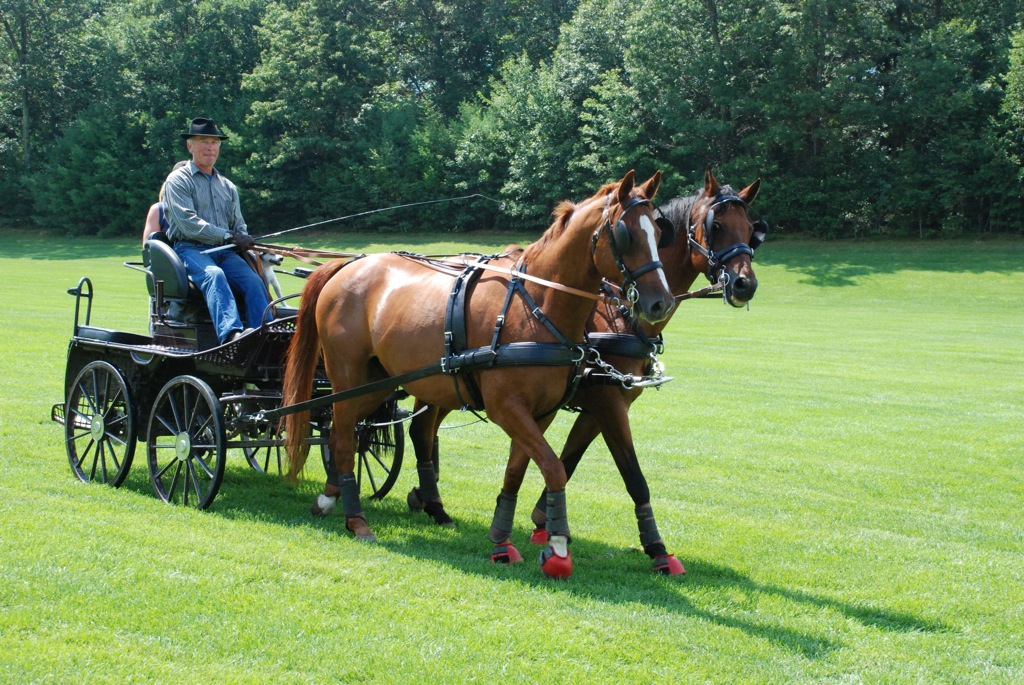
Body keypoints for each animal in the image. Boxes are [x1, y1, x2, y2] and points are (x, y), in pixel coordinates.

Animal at [282, 170, 675, 578]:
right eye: (626, 234)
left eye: (659, 232)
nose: (660, 302)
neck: (535, 306)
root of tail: (348, 265)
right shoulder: (510, 408)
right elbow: (553, 467)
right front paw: (557, 544)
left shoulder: (543, 412)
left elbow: (518, 471)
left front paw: (501, 540)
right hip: (349, 377)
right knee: (345, 437)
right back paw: (356, 519)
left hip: (379, 382)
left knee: (348, 432)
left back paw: (334, 500)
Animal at [402, 166, 766, 575]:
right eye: (716, 225)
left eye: (751, 229)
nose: (745, 283)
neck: (618, 314)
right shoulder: (606, 401)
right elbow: (630, 474)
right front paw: (656, 548)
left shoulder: (601, 405)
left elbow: (568, 458)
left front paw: (542, 522)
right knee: (421, 430)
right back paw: (432, 503)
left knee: (423, 430)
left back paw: (426, 498)